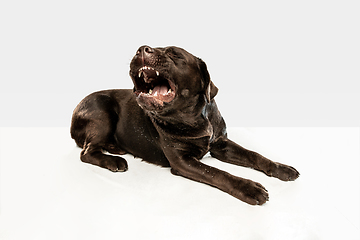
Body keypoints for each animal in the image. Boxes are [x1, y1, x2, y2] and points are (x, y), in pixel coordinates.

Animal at [69, 46, 298, 205]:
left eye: (175, 54)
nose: (141, 49)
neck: (195, 117)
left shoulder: (221, 144)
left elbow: (254, 155)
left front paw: (281, 168)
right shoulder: (182, 161)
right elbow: (217, 173)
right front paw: (249, 187)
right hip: (102, 112)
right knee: (86, 152)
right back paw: (114, 160)